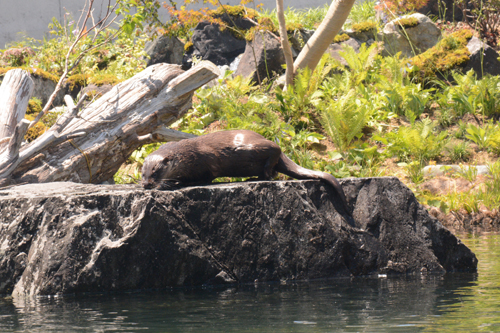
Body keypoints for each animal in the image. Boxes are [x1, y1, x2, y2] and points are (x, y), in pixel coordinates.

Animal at [141, 130, 352, 215]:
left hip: (251, 148)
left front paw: (183, 183)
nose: (146, 184)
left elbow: (207, 177)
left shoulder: (207, 158)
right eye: (143, 173)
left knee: (275, 151)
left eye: (156, 171)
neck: (186, 154)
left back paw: (260, 175)